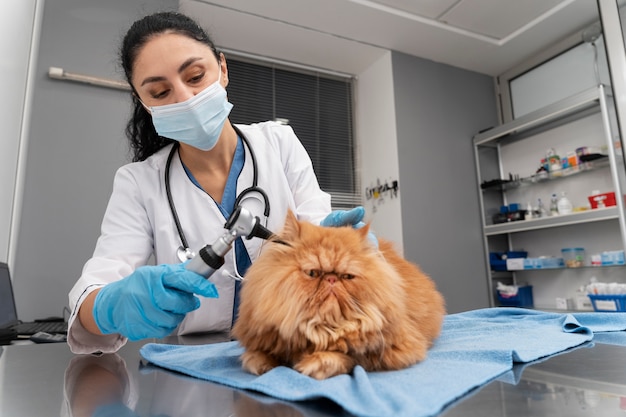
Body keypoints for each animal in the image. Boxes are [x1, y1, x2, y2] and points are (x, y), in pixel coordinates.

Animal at [230, 213, 444, 378]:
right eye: (313, 273)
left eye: (347, 277)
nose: (332, 279)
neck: (321, 328)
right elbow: (260, 353)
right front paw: (259, 362)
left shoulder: (398, 349)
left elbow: (351, 356)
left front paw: (316, 363)